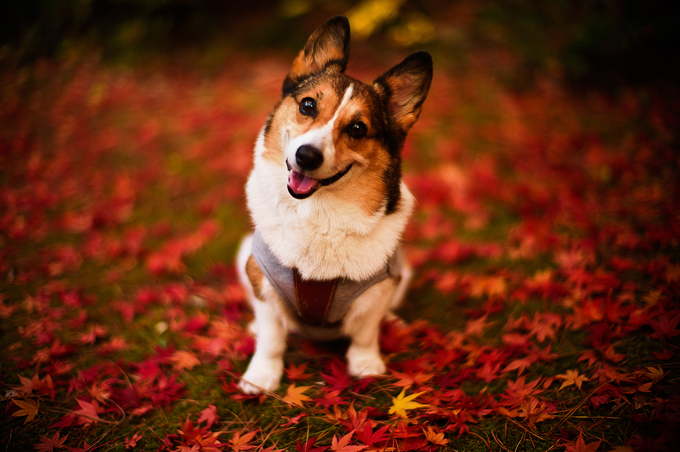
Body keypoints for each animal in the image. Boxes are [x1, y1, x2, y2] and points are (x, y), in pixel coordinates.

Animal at [236, 15, 432, 394]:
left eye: (357, 128)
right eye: (307, 105)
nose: (307, 156)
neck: (318, 214)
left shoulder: (379, 289)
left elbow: (366, 333)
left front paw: (366, 364)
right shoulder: (264, 285)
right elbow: (271, 338)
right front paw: (261, 376)